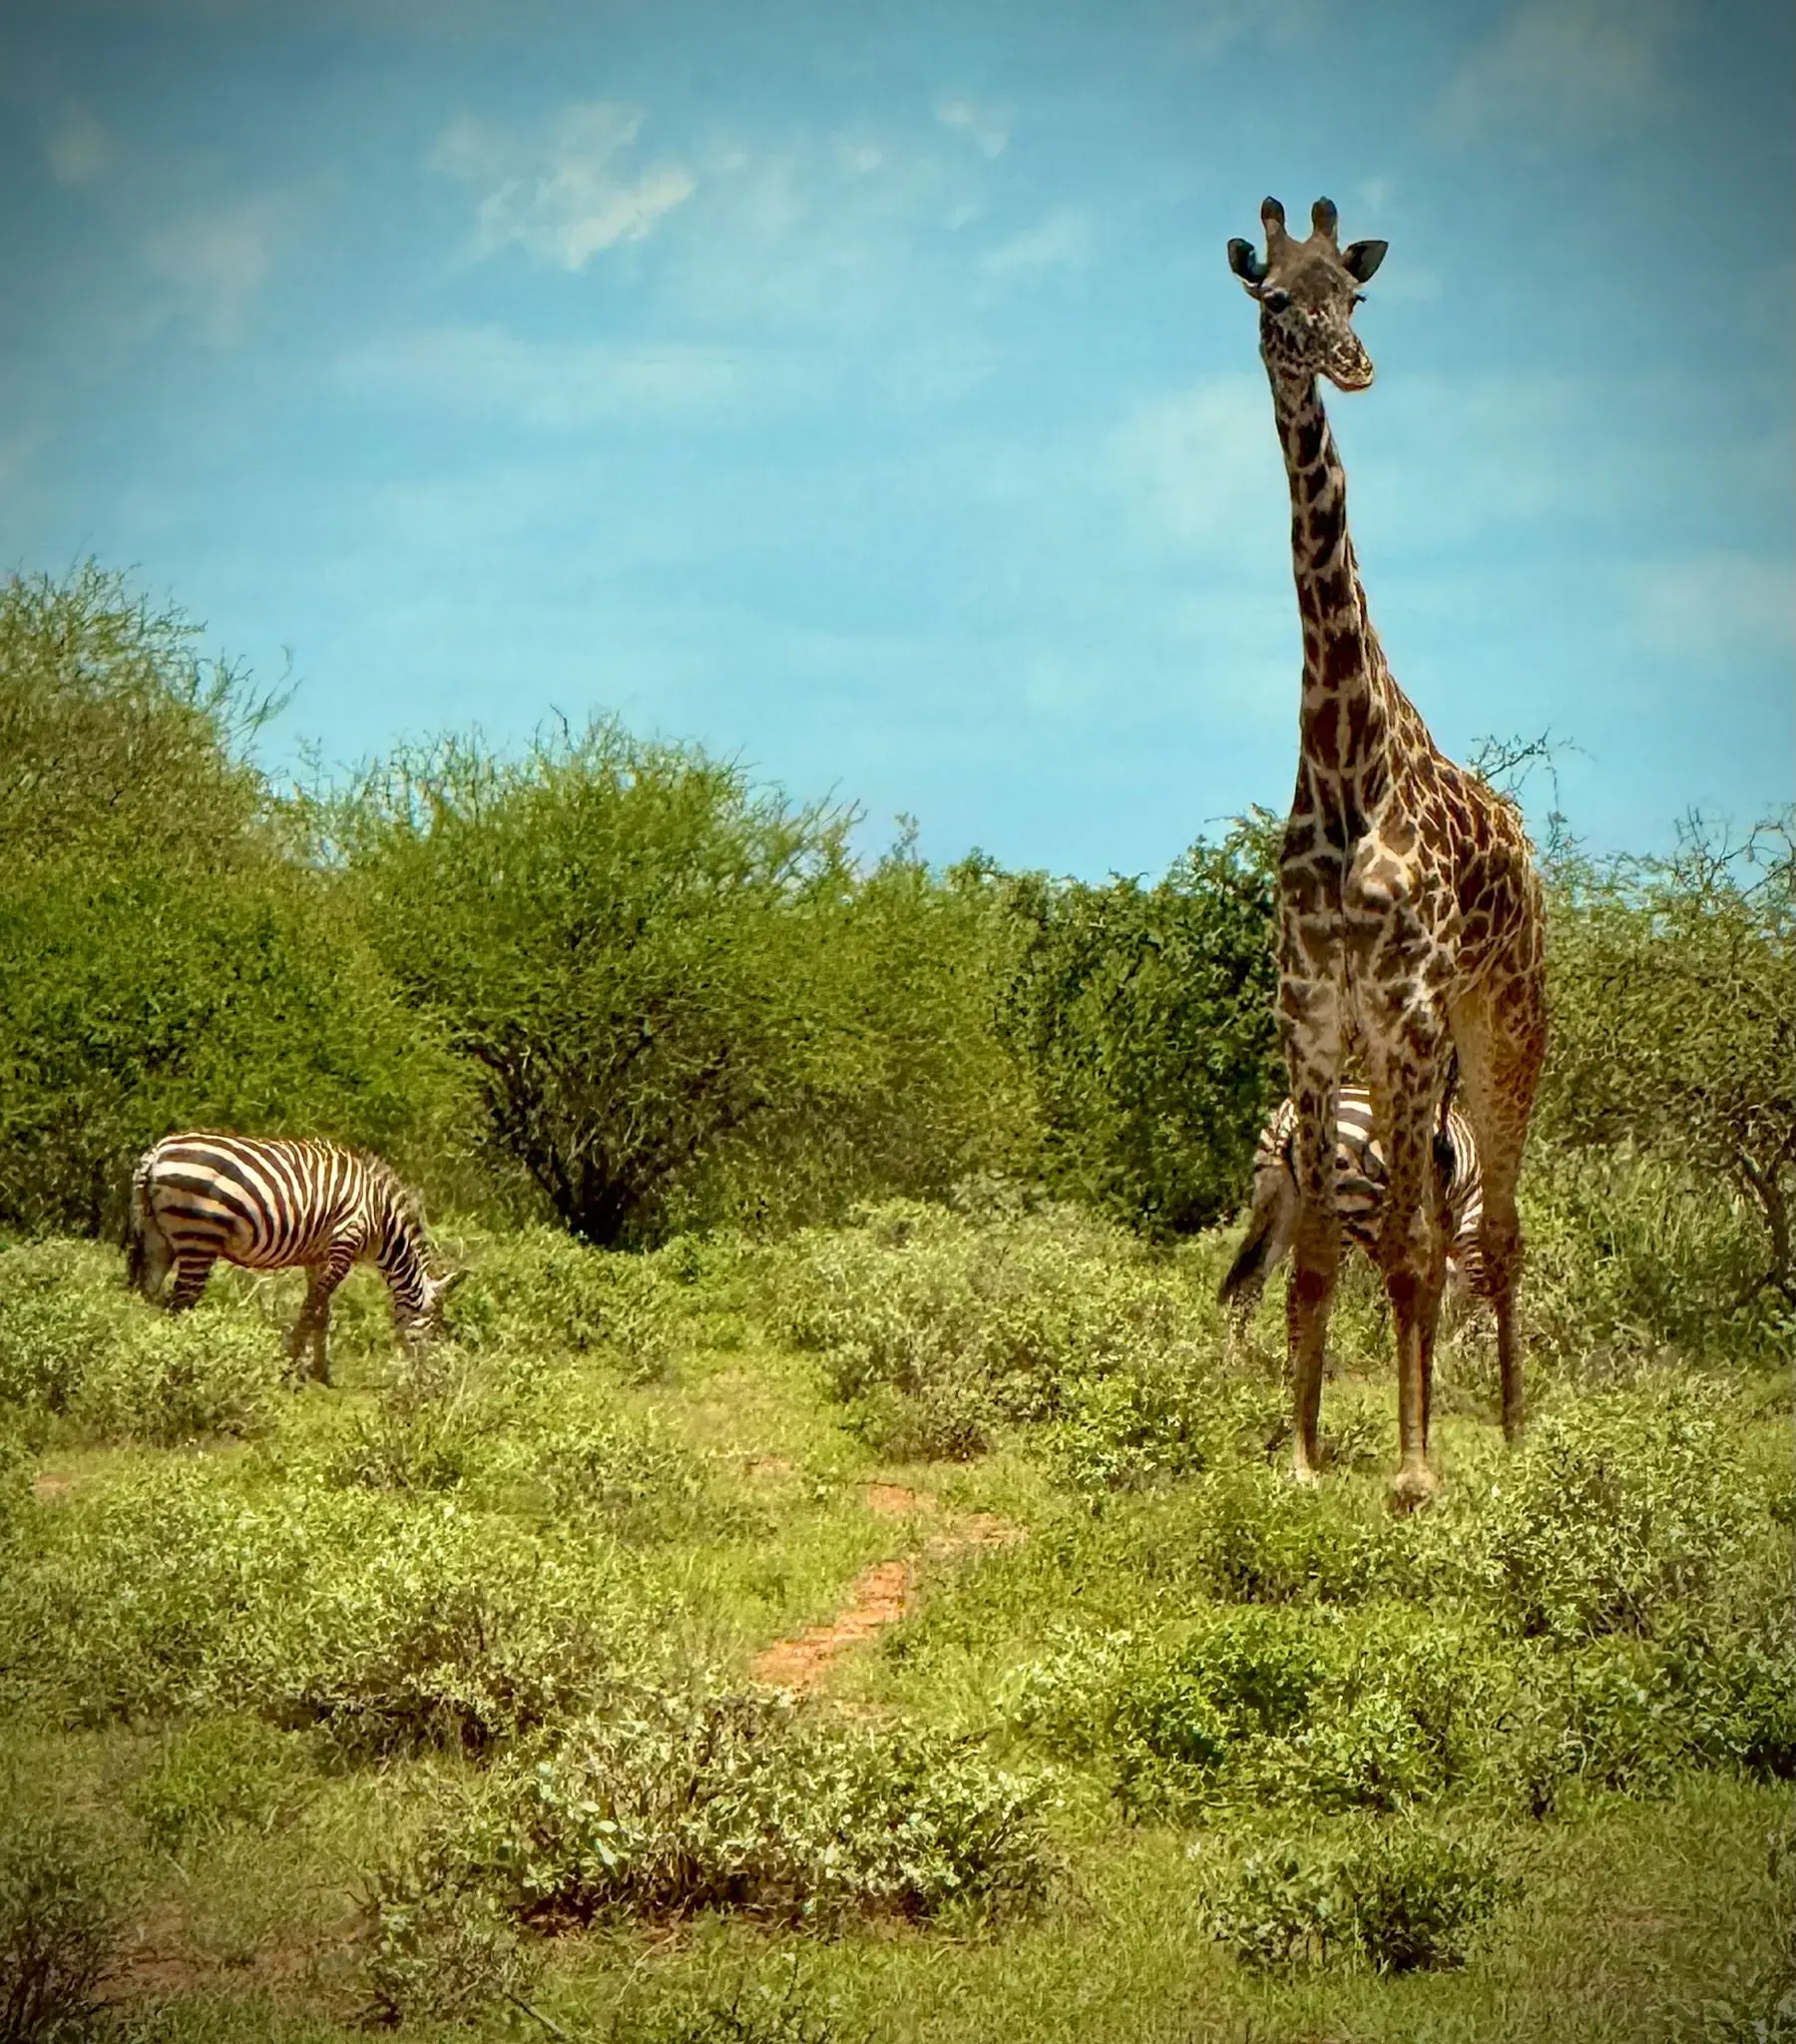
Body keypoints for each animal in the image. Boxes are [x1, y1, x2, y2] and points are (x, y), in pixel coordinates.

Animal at [126, 1132, 462, 1384]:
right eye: (434, 1326)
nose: (432, 1378)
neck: (381, 1219)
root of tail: (156, 1154)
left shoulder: (319, 1257)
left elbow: (322, 1314)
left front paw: (320, 1373)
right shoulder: (345, 1243)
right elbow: (312, 1309)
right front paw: (289, 1365)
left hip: (157, 1236)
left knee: (149, 1293)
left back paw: (150, 1353)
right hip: (199, 1237)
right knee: (180, 1302)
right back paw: (184, 1364)